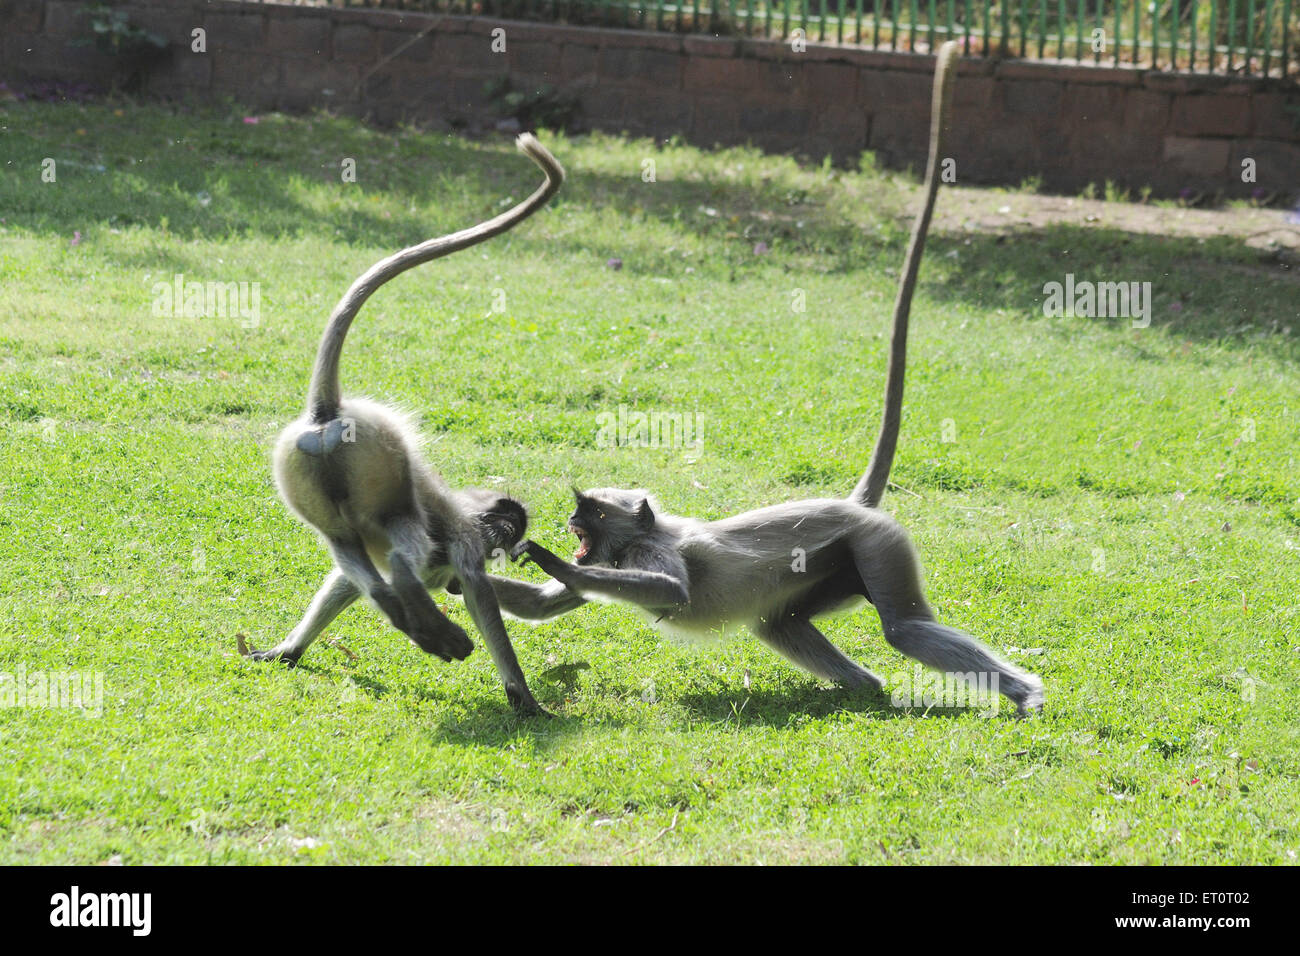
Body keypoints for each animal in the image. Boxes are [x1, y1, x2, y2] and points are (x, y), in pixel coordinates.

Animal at [244, 134, 564, 717]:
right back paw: (412, 599)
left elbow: (344, 585)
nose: (511, 547)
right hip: (382, 456)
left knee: (347, 548)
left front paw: (288, 650)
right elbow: (477, 588)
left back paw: (399, 611)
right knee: (399, 532)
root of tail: (328, 411)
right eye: (506, 533)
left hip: (299, 469)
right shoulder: (468, 538)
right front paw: (522, 696)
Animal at [506, 46, 1045, 717]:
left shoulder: (649, 553)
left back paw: (1024, 696)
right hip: (833, 567)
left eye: (593, 513)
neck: (649, 529)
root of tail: (852, 505)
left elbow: (671, 590)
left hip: (876, 543)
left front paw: (547, 557)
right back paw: (868, 691)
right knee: (781, 623)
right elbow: (537, 605)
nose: (571, 524)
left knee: (903, 628)